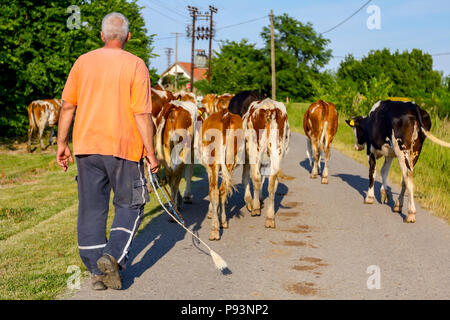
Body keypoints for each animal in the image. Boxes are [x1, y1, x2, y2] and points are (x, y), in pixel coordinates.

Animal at [200, 109, 243, 239]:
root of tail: (225, 116)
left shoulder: (208, 169)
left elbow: (211, 191)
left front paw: (210, 213)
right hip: (230, 163)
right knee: (222, 190)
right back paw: (223, 222)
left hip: (212, 163)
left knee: (215, 191)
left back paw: (214, 229)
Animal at [244, 97, 290, 228]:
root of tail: (269, 107)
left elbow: (247, 177)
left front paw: (252, 202)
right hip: (276, 151)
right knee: (272, 183)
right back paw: (270, 218)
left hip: (255, 150)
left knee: (256, 178)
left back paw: (255, 209)